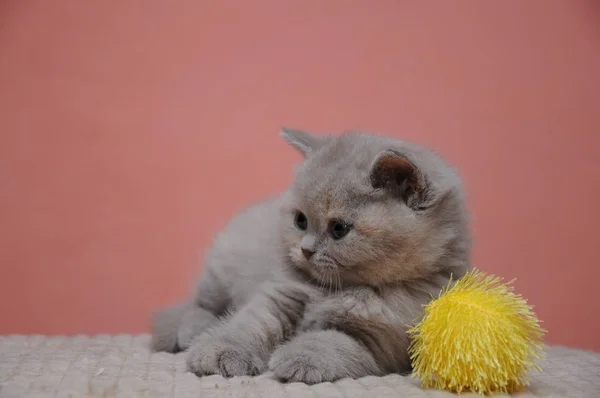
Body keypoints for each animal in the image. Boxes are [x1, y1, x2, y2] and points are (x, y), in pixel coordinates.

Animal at [150, 129, 468, 384]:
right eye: (300, 220)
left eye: (339, 229)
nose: (306, 249)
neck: (336, 291)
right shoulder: (279, 295)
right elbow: (250, 324)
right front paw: (219, 351)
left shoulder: (382, 340)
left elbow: (331, 341)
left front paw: (299, 359)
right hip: (221, 268)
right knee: (198, 305)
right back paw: (192, 331)